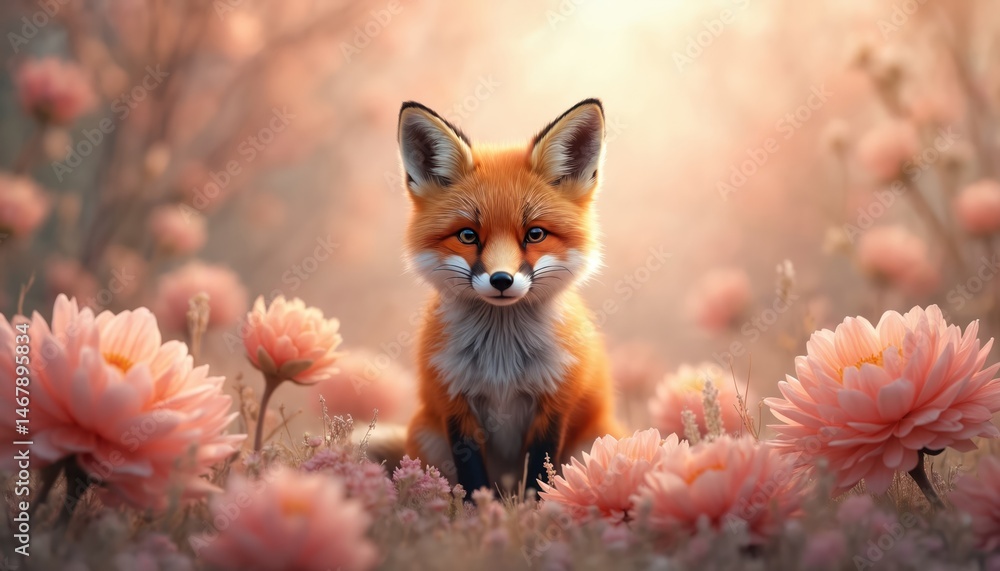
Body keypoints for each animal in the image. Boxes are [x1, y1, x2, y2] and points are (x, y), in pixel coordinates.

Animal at [397, 98, 624, 496]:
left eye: (535, 234)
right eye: (468, 236)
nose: (501, 280)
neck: (501, 364)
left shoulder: (556, 402)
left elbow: (538, 475)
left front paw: (537, 510)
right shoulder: (453, 403)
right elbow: (473, 481)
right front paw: (479, 512)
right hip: (426, 436)